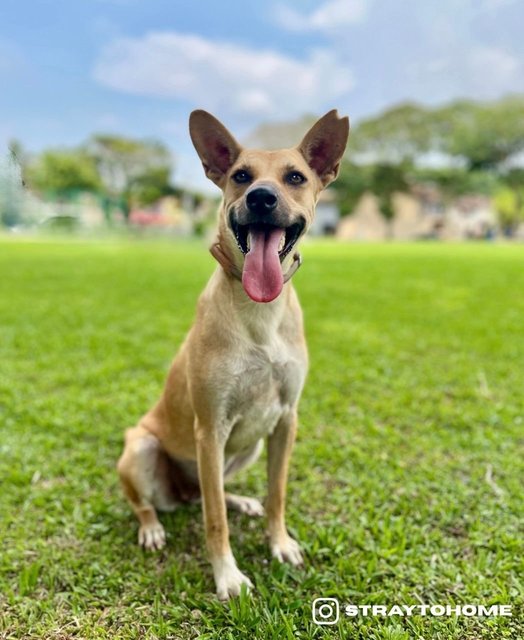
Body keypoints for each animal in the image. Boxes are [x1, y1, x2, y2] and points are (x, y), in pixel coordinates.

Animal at [116, 110, 350, 600]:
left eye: (295, 177)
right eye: (241, 176)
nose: (261, 197)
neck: (259, 312)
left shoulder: (285, 420)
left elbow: (277, 493)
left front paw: (279, 542)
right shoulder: (210, 429)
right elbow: (214, 520)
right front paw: (227, 575)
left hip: (248, 446)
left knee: (216, 490)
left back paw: (240, 500)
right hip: (143, 448)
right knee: (157, 502)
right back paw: (152, 527)